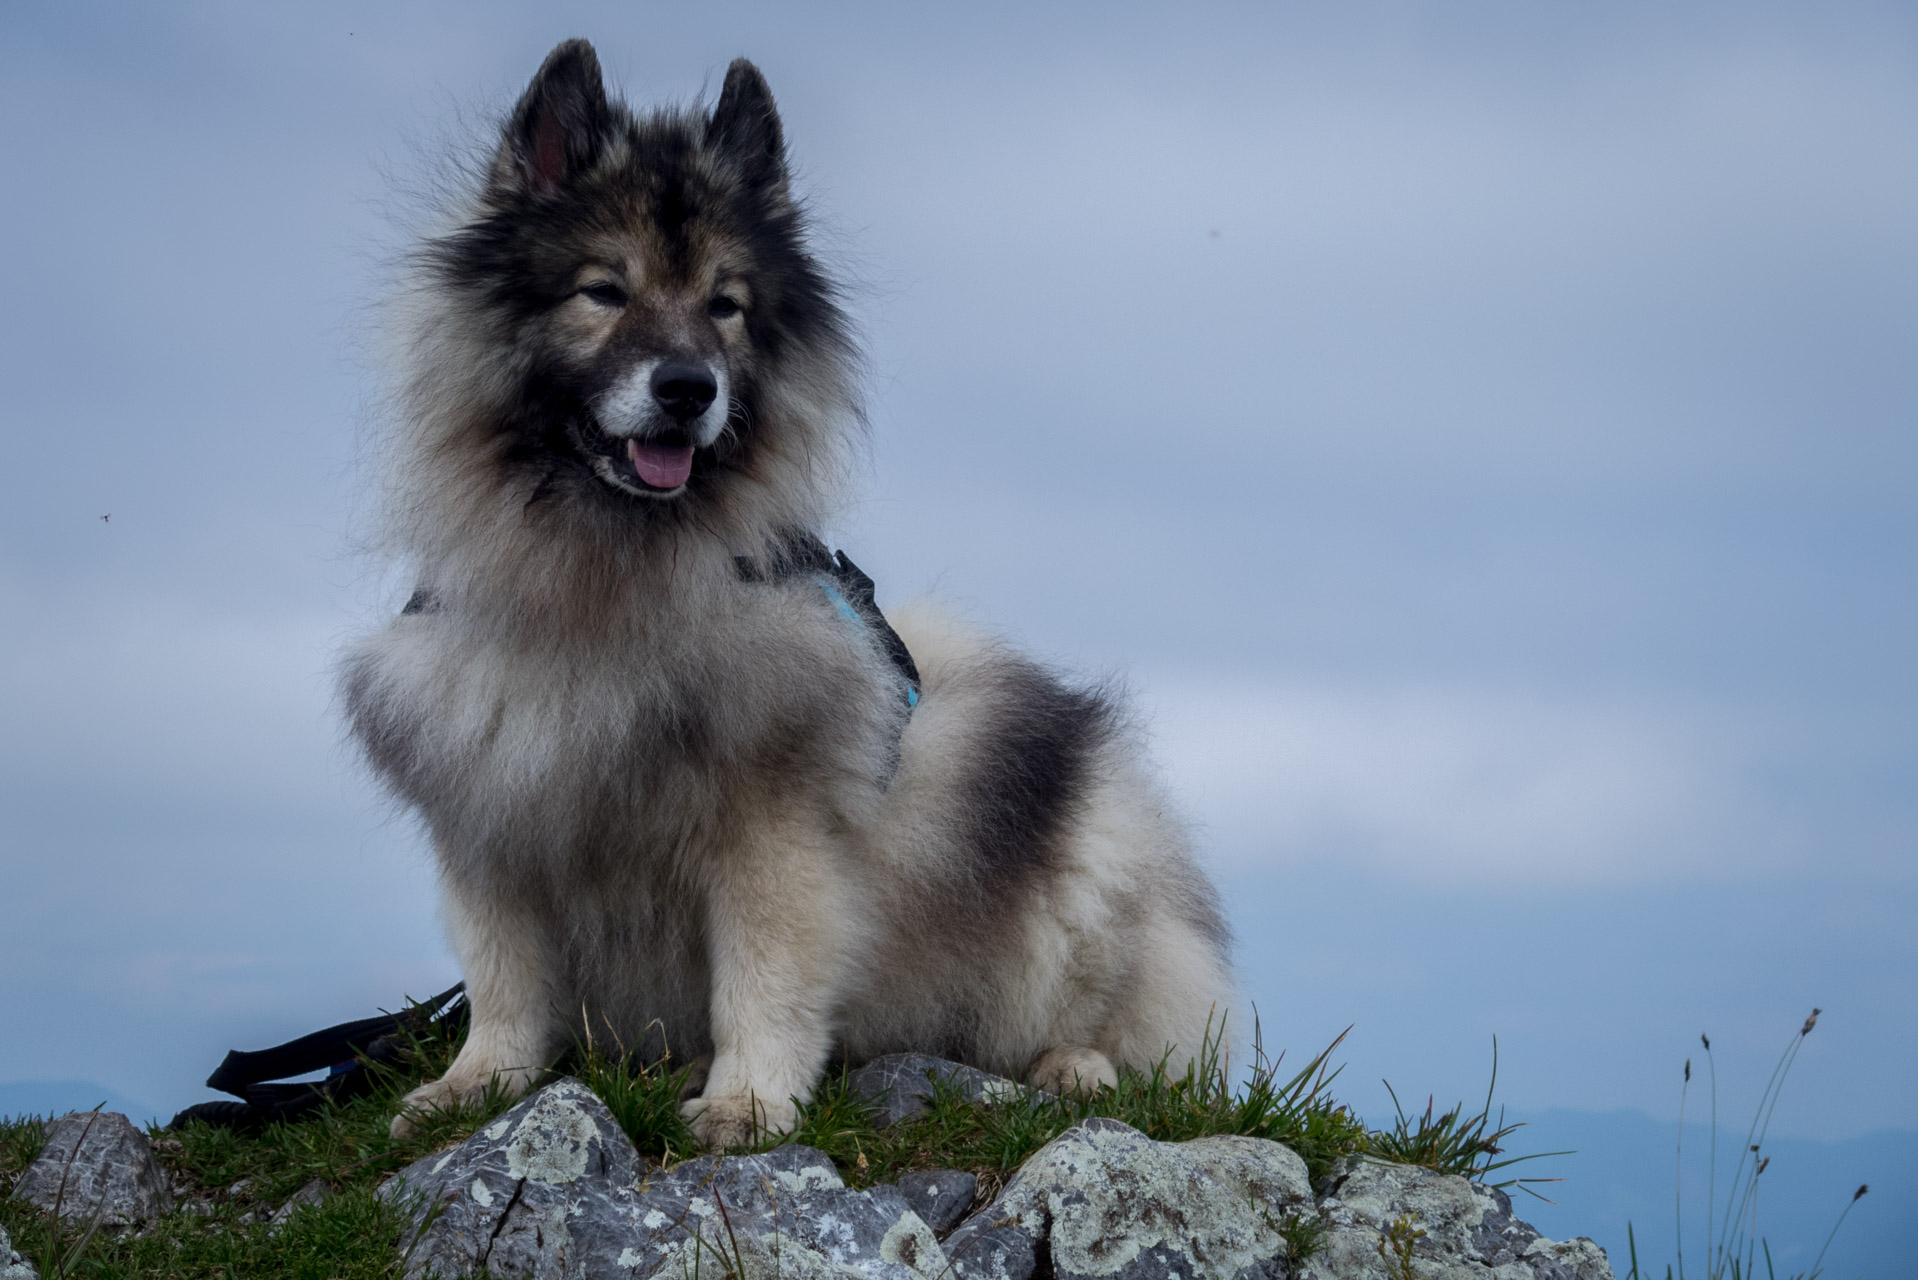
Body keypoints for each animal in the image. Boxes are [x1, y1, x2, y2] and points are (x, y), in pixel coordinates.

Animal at [347, 40, 1235, 1151]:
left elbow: (763, 978)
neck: (601, 588)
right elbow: (505, 982)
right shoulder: (493, 818)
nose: (688, 388)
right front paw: (475, 1085)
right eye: (603, 289)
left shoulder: (769, 833)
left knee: (1130, 1044)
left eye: (725, 304)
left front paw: (750, 1101)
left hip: (1070, 875)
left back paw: (1076, 1067)